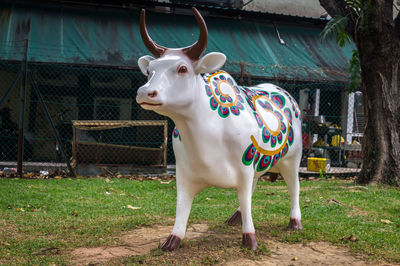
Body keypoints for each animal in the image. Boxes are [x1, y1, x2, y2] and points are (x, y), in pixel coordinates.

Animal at [136, 7, 302, 250]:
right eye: (149, 70)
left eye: (183, 68)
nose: (144, 92)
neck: (207, 134)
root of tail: (284, 92)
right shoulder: (184, 173)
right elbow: (182, 207)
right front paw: (172, 240)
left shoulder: (244, 168)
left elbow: (246, 197)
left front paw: (250, 239)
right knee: (255, 186)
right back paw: (236, 217)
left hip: (292, 158)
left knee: (293, 188)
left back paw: (295, 222)